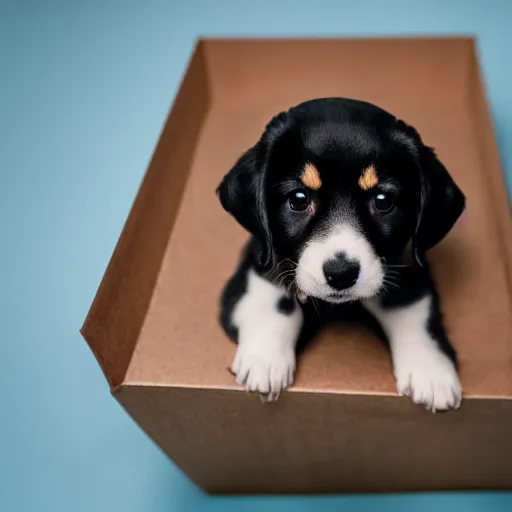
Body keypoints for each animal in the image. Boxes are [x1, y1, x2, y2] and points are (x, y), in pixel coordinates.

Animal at [215, 98, 464, 414]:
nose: (341, 273)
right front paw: (265, 359)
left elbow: (412, 309)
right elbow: (275, 300)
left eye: (383, 201)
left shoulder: (408, 263)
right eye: (298, 199)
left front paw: (431, 371)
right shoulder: (259, 258)